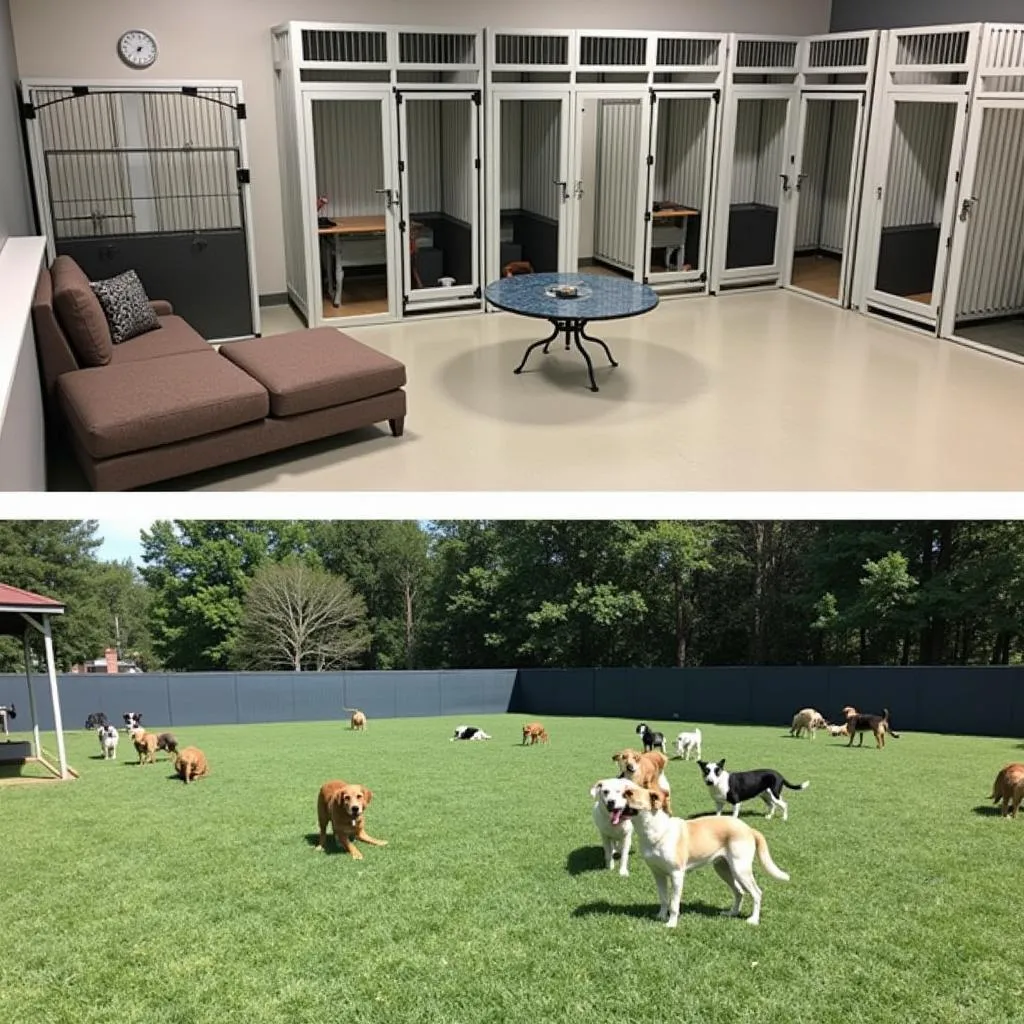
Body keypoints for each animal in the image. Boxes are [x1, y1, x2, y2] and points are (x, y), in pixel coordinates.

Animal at [614, 782, 790, 929]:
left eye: (629, 794)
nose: (609, 802)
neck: (656, 832)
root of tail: (749, 829)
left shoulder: (677, 874)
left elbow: (674, 903)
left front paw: (671, 923)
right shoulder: (658, 874)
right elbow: (663, 898)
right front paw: (660, 916)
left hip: (740, 869)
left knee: (757, 893)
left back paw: (753, 920)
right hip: (723, 869)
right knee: (739, 892)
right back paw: (731, 913)